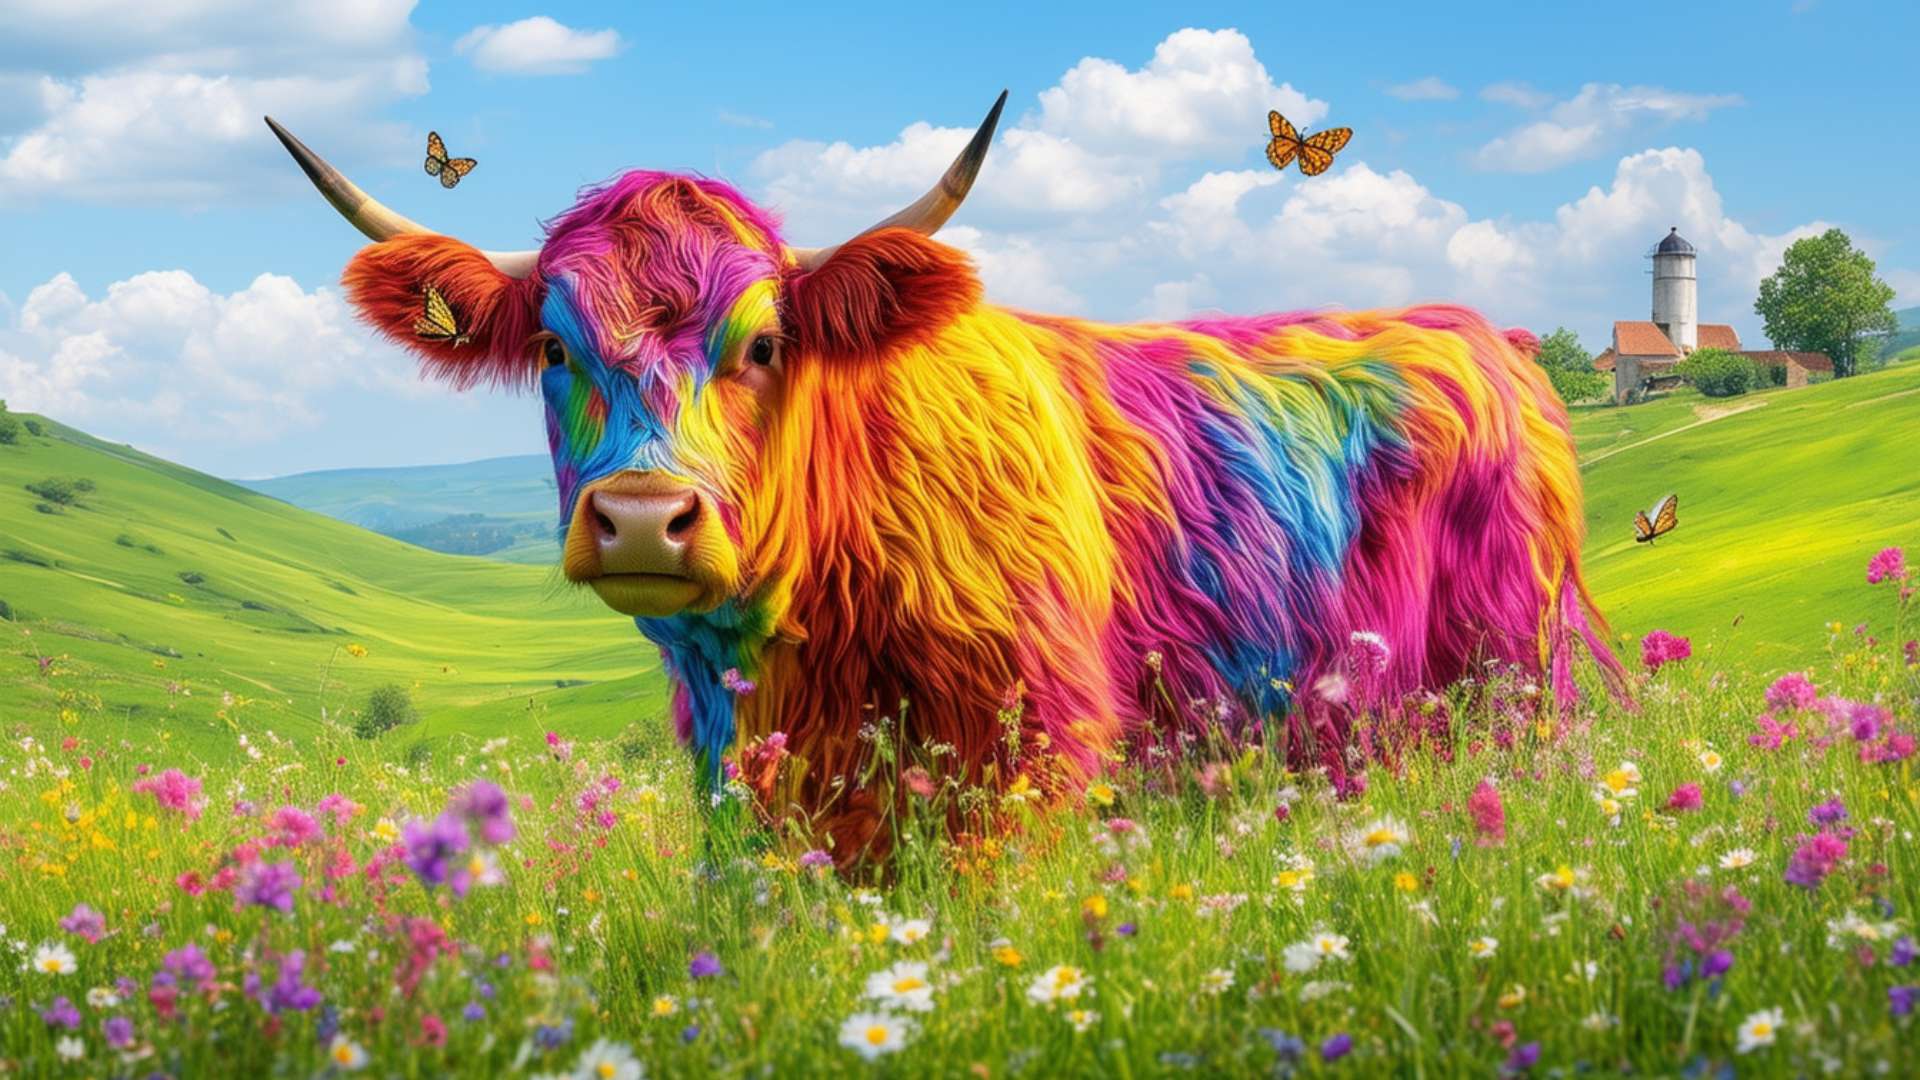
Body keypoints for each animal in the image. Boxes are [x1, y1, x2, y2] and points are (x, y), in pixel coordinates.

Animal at [270, 94, 1621, 860]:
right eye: (553, 348)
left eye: (767, 344)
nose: (646, 521)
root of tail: (1480, 331)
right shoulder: (744, 769)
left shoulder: (1034, 737)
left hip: (1510, 669)